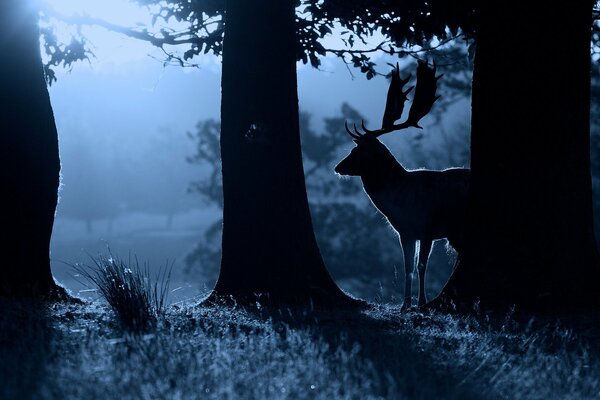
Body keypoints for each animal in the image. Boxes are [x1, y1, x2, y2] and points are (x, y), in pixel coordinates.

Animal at [338, 60, 468, 310]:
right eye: (353, 148)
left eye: (360, 151)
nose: (338, 167)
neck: (401, 203)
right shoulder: (405, 232)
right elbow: (408, 267)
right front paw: (405, 304)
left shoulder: (427, 227)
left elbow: (421, 266)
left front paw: (421, 303)